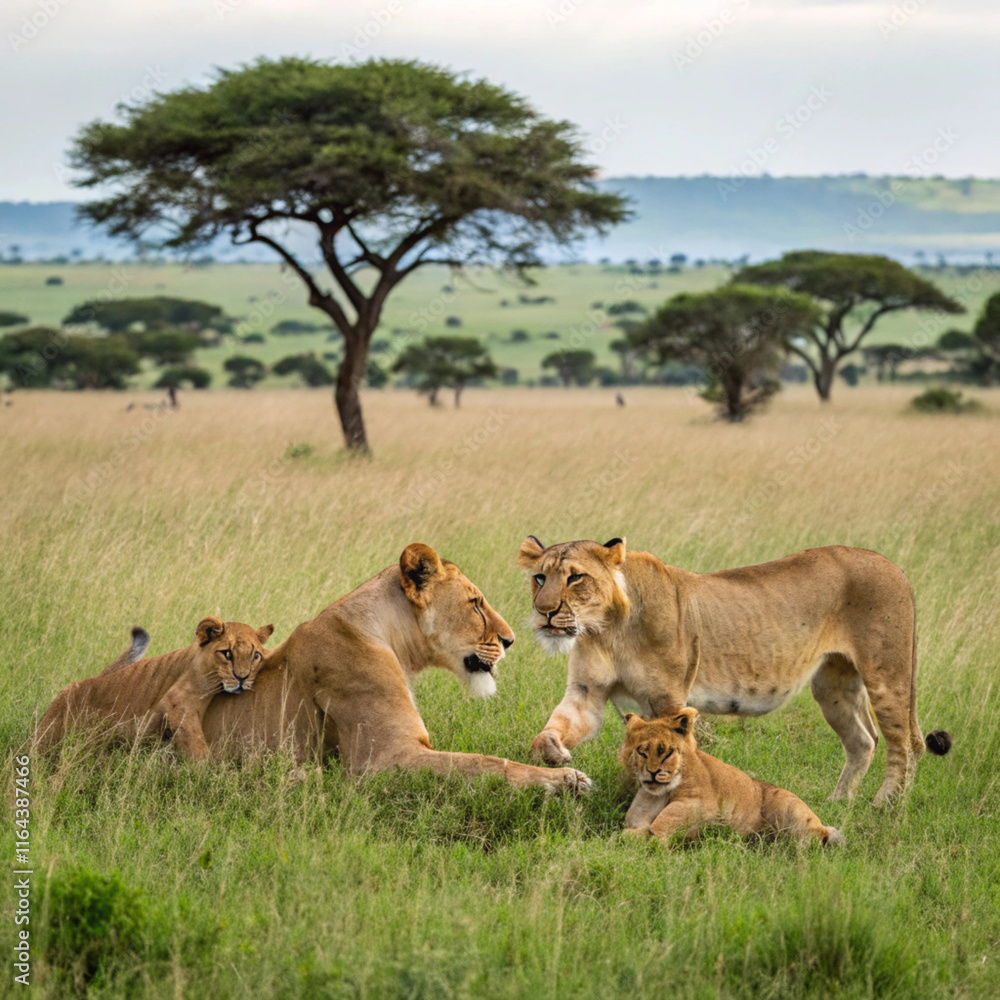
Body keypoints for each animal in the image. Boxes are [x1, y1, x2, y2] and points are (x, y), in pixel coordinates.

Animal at [199, 543, 591, 793]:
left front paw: (555, 755)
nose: (510, 640)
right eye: (475, 603)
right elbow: (486, 762)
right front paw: (566, 780)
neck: (392, 642)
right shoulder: (385, 758)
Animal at [518, 536, 951, 805]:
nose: (544, 612)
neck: (607, 629)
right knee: (863, 740)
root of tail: (894, 566)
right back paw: (839, 802)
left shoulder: (668, 700)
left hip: (887, 673)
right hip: (833, 685)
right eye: (540, 577)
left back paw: (886, 806)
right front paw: (554, 755)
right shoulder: (586, 692)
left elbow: (665, 755)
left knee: (906, 743)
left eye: (576, 577)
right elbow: (556, 727)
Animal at [620, 710, 844, 846]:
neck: (659, 794)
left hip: (792, 809)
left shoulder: (705, 806)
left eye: (667, 753)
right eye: (642, 752)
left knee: (817, 836)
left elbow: (665, 820)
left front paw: (655, 840)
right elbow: (630, 832)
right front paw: (630, 838)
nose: (653, 772)